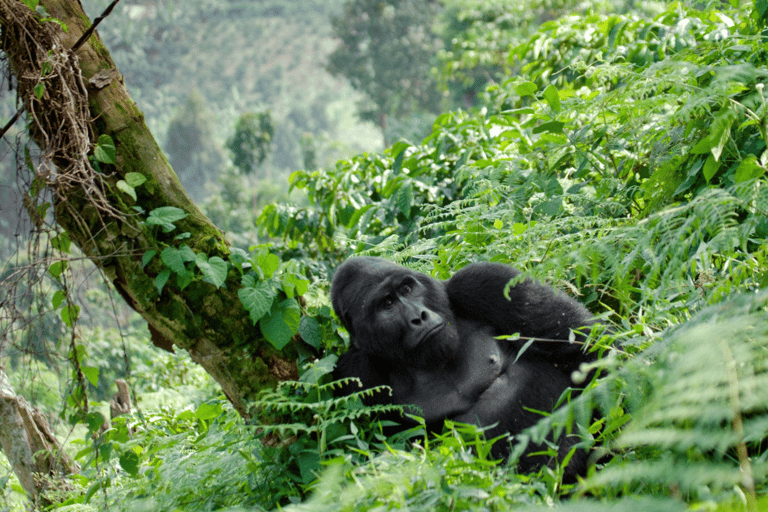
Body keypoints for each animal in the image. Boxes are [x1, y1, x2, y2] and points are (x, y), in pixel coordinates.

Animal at [330, 258, 600, 478]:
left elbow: (585, 346)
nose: (420, 316)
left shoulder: (483, 282)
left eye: (407, 288)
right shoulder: (356, 372)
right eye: (387, 304)